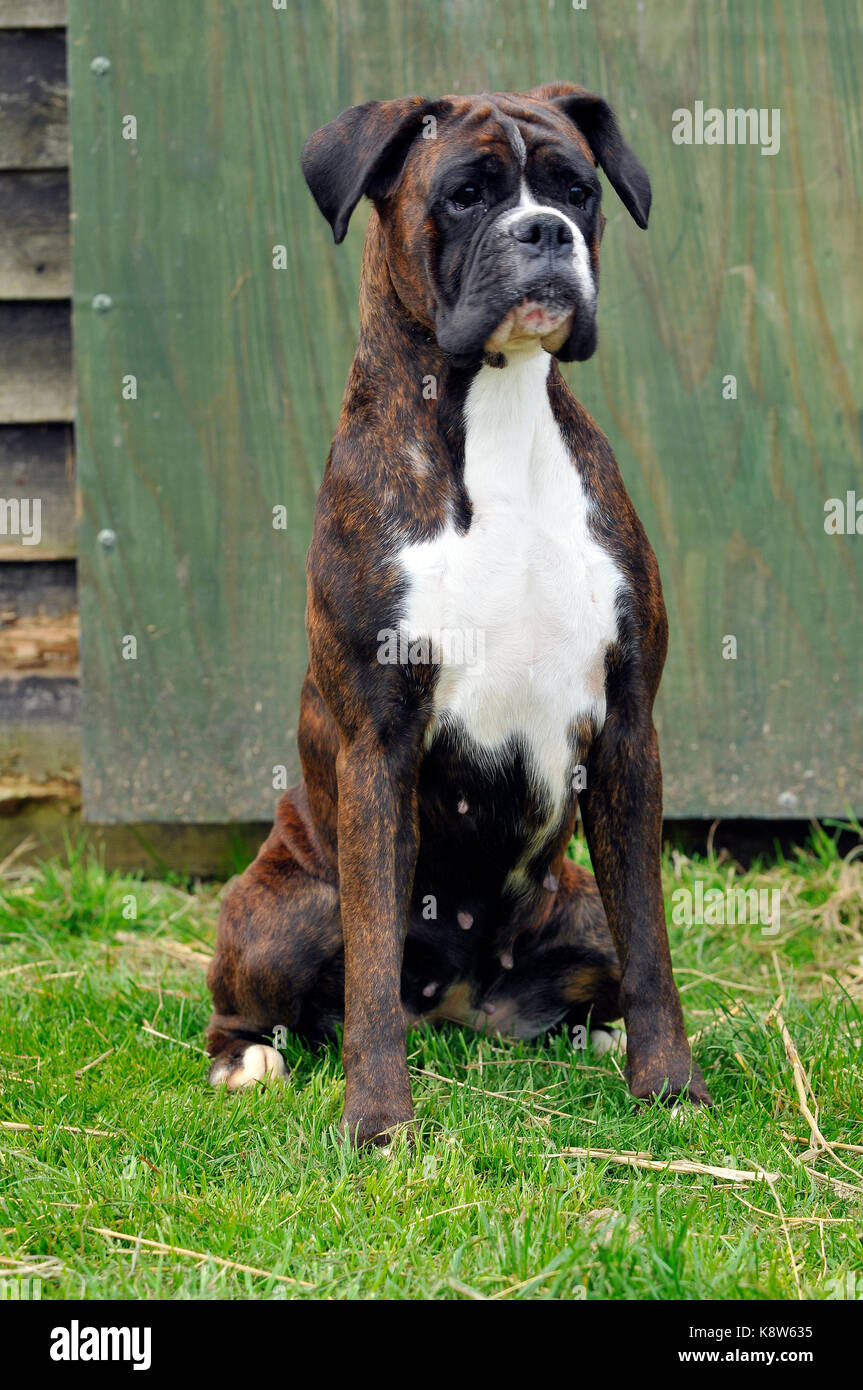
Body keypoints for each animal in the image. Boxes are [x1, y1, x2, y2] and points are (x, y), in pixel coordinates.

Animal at [205, 81, 711, 1139]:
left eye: (575, 189)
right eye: (467, 194)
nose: (545, 231)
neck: (497, 420)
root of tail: (459, 1004)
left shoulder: (627, 731)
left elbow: (651, 945)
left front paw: (668, 1085)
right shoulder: (378, 746)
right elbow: (368, 974)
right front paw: (377, 1124)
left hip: (577, 901)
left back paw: (589, 1037)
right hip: (283, 912)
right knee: (266, 994)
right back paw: (246, 1059)